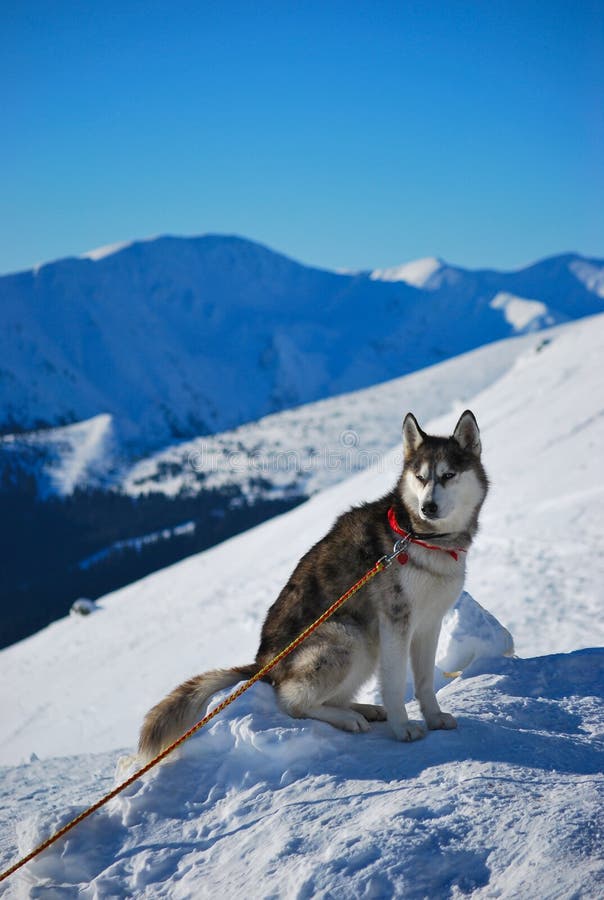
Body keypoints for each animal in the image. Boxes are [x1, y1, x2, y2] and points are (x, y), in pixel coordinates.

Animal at [140, 412, 486, 756]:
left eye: (448, 475)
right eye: (420, 477)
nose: (428, 507)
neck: (421, 538)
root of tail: (262, 665)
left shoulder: (429, 624)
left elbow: (425, 681)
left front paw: (435, 718)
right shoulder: (395, 623)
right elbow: (395, 682)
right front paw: (402, 728)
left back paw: (363, 710)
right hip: (349, 636)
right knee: (292, 702)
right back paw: (347, 718)